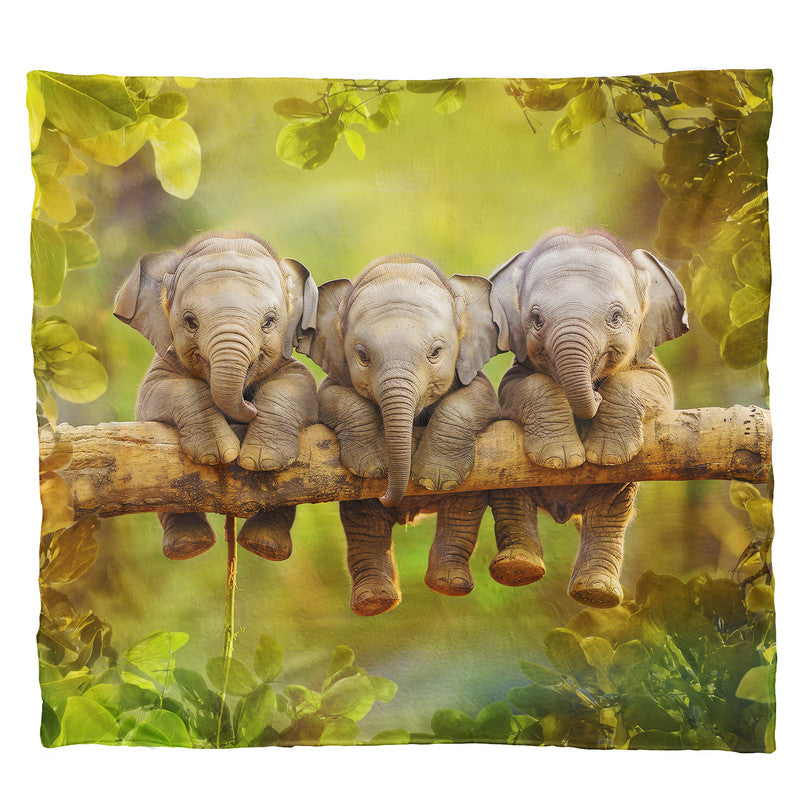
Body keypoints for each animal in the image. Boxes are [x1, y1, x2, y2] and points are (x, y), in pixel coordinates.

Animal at [114, 232, 318, 561]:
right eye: (190, 321)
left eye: (269, 322)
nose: (248, 403)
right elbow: (156, 392)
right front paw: (219, 454)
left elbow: (299, 384)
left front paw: (263, 461)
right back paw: (187, 546)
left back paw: (265, 546)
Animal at [297, 254, 508, 616]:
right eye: (362, 355)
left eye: (436, 352)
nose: (388, 492)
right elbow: (333, 396)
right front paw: (372, 468)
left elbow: (477, 397)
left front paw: (434, 477)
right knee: (365, 523)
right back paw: (375, 602)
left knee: (463, 507)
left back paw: (449, 585)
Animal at [487, 228, 688, 607]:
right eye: (535, 319)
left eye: (616, 316)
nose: (595, 393)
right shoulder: (517, 369)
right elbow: (519, 388)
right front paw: (560, 461)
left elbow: (655, 386)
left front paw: (608, 455)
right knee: (511, 491)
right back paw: (518, 569)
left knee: (611, 509)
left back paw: (597, 594)